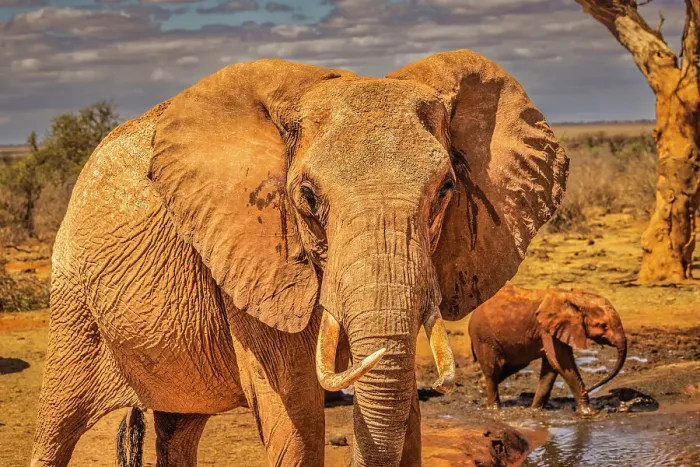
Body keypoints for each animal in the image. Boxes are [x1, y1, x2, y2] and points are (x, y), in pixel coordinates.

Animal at [31, 49, 568, 467]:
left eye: (446, 190)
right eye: (307, 197)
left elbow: (404, 413)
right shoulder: (254, 263)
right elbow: (298, 416)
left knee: (178, 427)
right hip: (72, 295)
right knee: (57, 423)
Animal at [468, 284, 627, 415]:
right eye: (603, 325)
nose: (593, 387)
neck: (573, 298)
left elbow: (552, 367)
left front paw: (535, 411)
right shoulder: (547, 328)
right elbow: (561, 362)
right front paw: (590, 413)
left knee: (510, 366)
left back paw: (481, 386)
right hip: (483, 338)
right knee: (493, 370)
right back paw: (494, 409)